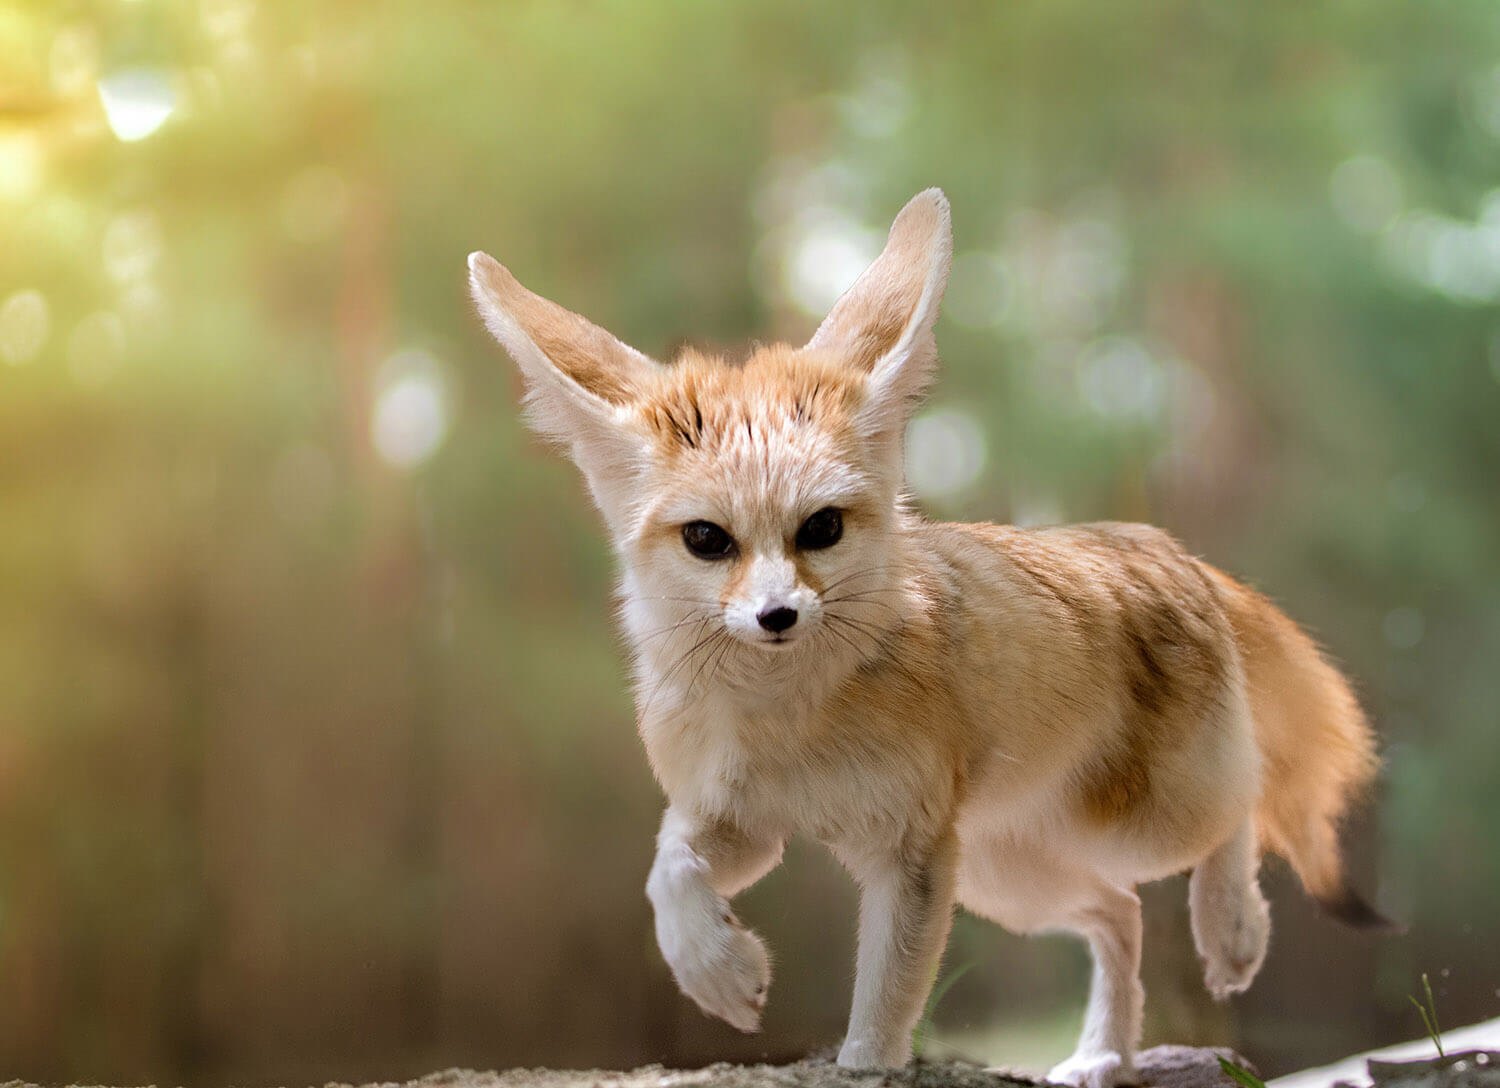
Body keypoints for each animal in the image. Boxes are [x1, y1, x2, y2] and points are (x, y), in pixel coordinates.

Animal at [466, 189, 1390, 1087]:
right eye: (707, 540)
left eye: (822, 528)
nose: (777, 617)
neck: (786, 718)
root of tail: (1161, 545)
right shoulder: (739, 823)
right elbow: (668, 873)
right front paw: (717, 970)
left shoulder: (904, 850)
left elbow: (885, 1002)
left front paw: (857, 1057)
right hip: (1003, 874)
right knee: (1118, 911)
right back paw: (1105, 1054)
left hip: (1137, 824)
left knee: (1242, 803)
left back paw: (1231, 930)